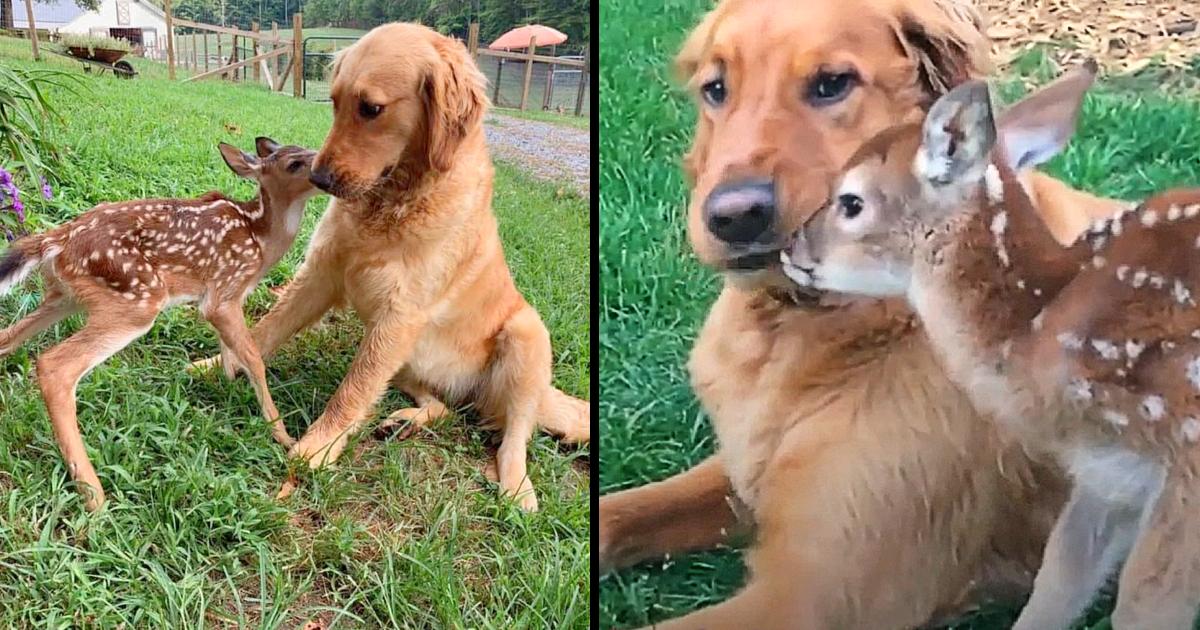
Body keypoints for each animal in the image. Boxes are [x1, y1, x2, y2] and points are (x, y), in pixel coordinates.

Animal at [195, 23, 585, 511]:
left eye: (371, 109)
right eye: (334, 102)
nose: (320, 179)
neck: (392, 201)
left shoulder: (400, 315)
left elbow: (352, 390)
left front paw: (316, 447)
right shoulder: (322, 275)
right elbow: (265, 331)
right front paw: (215, 364)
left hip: (525, 334)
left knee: (515, 435)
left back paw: (517, 490)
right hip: (404, 359)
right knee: (440, 405)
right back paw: (403, 421)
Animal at [600, 0, 1123, 624]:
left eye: (832, 83)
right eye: (716, 89)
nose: (733, 217)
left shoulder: (810, 596)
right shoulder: (744, 472)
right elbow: (617, 512)